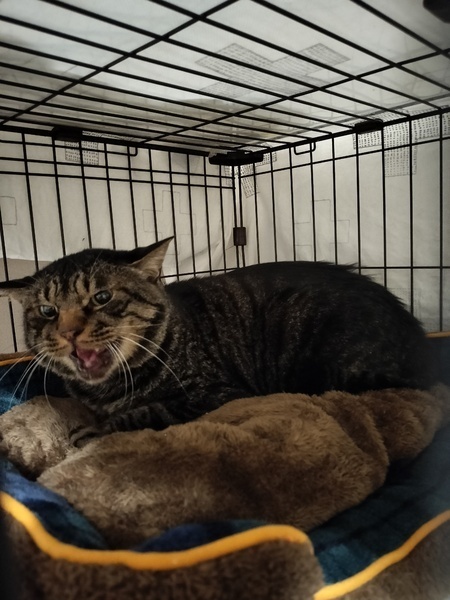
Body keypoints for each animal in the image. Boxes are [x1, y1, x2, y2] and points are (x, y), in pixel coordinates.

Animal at [0, 238, 435, 445]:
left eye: (102, 297)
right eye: (47, 311)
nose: (69, 332)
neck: (108, 391)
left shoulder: (216, 394)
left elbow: (148, 411)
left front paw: (97, 431)